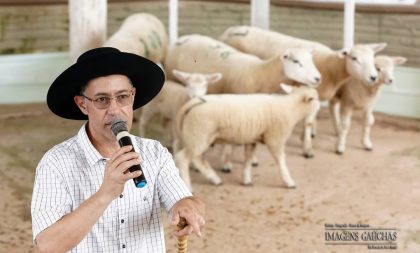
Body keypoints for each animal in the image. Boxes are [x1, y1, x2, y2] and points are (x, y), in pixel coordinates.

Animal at [172, 84, 320, 191]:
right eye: (315, 98)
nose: (319, 106)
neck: (291, 107)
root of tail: (194, 102)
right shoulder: (275, 138)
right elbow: (281, 161)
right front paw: (289, 181)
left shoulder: (251, 139)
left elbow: (248, 158)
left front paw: (246, 179)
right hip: (199, 135)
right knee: (183, 159)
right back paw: (189, 186)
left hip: (198, 137)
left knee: (198, 159)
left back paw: (215, 179)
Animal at [220, 24, 388, 157]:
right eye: (354, 58)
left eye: (373, 59)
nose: (373, 77)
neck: (331, 67)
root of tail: (231, 29)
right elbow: (308, 121)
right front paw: (307, 148)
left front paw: (305, 137)